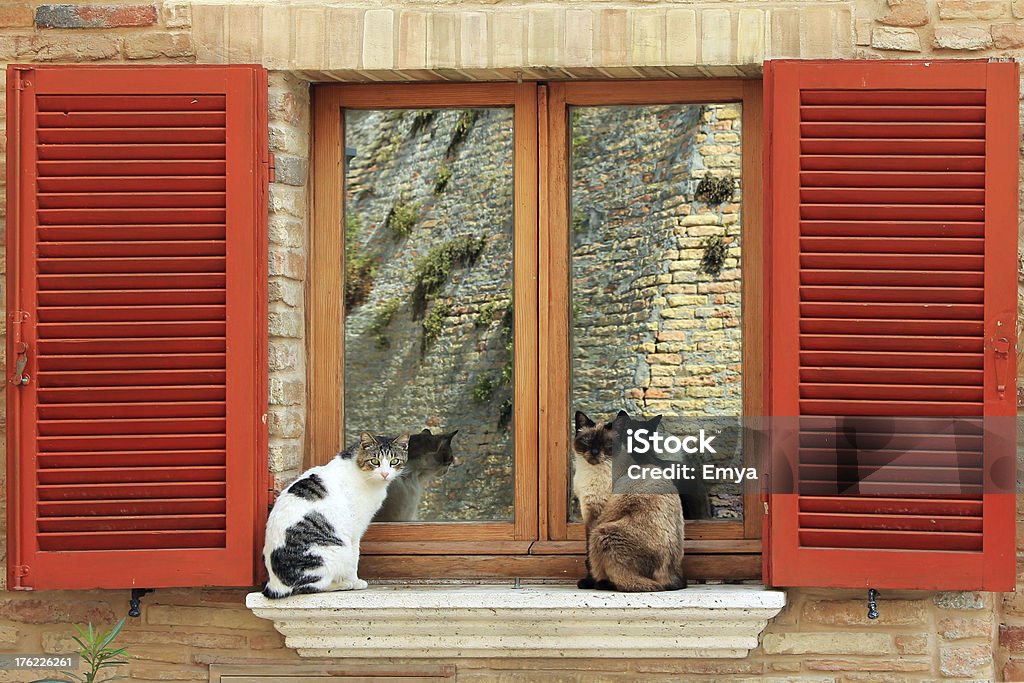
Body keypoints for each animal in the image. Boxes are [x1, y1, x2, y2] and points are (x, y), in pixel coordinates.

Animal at [262, 432, 409, 598]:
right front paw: (355, 581)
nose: (385, 474)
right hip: (335, 552)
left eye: (394, 461)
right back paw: (345, 584)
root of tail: (275, 585)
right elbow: (355, 558)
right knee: (311, 587)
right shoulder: (354, 530)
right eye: (374, 461)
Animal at [573, 411, 684, 593]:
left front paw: (588, 581)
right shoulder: (587, 516)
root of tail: (671, 576)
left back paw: (602, 583)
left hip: (602, 534)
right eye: (587, 441)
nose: (595, 452)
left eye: (607, 444)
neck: (589, 472)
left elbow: (590, 559)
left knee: (635, 582)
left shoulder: (595, 518)